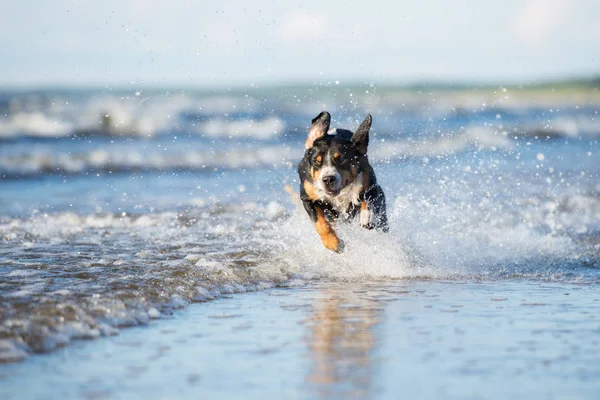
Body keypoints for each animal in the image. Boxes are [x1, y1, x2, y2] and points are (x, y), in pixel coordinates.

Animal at [296, 110, 390, 253]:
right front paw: (333, 243)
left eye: (341, 159)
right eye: (316, 161)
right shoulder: (308, 198)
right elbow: (320, 224)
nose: (328, 179)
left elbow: (366, 197)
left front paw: (366, 216)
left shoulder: (371, 184)